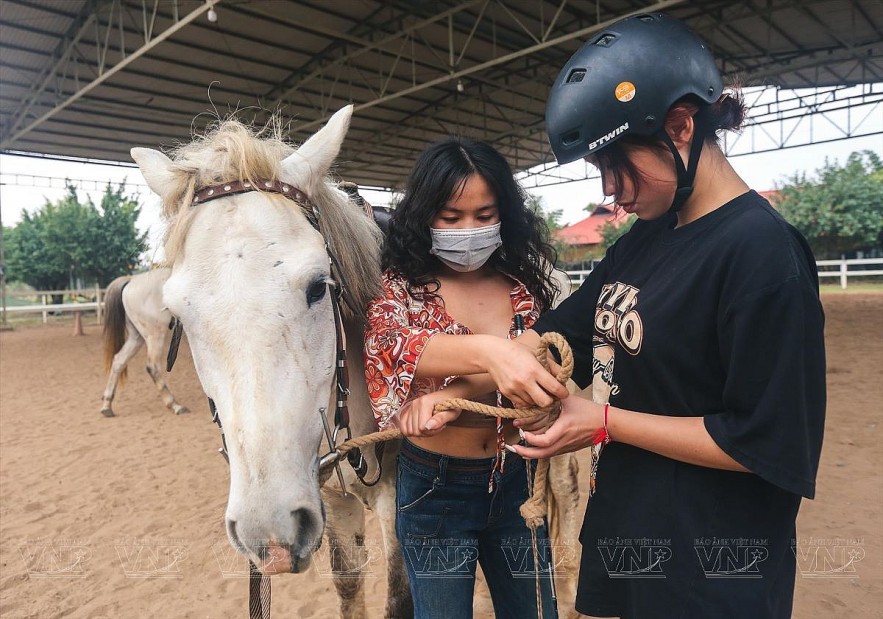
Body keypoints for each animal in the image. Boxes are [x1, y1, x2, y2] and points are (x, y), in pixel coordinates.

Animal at [101, 270, 189, 418]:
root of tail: (131, 279)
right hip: (155, 335)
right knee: (152, 367)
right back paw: (174, 405)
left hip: (136, 337)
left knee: (119, 360)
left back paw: (107, 405)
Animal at [133, 109, 580, 616]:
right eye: (176, 310)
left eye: (318, 286)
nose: (268, 533)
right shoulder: (330, 497)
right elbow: (347, 582)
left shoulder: (399, 501)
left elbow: (399, 596)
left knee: (563, 491)